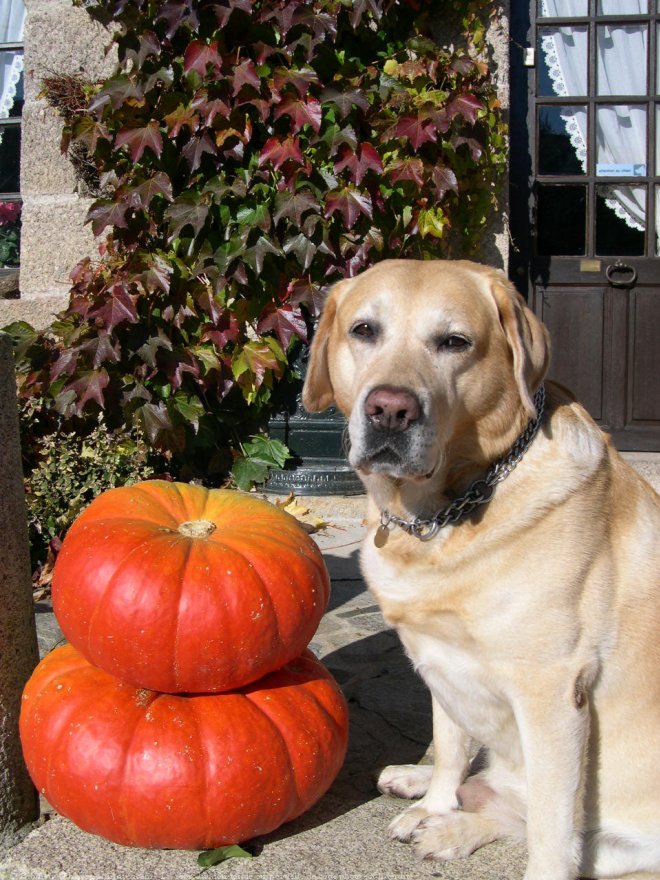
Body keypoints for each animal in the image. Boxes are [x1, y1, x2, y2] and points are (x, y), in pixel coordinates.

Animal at [302, 260, 660, 880]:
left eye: (454, 342)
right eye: (364, 330)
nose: (389, 410)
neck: (440, 516)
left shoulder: (553, 691)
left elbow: (551, 829)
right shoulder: (437, 657)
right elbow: (450, 746)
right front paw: (435, 802)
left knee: (557, 829)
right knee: (494, 789)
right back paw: (430, 804)